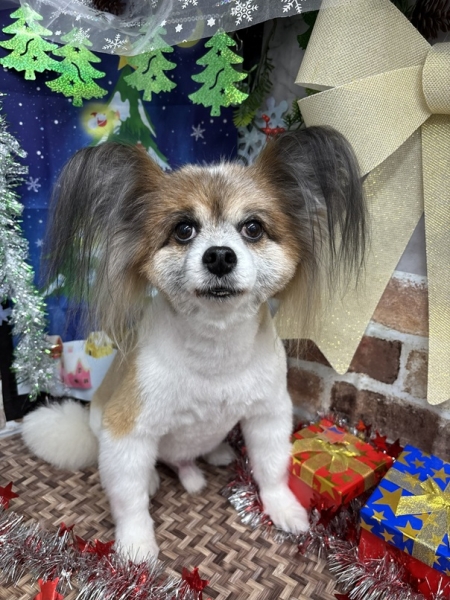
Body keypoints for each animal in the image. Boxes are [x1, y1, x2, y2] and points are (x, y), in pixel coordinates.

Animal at [22, 127, 366, 561]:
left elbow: (271, 468)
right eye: (184, 230)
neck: (215, 353)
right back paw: (158, 477)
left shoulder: (269, 412)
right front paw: (135, 545)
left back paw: (214, 454)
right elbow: (129, 500)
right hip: (103, 426)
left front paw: (283, 507)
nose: (219, 256)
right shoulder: (126, 429)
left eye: (253, 228)